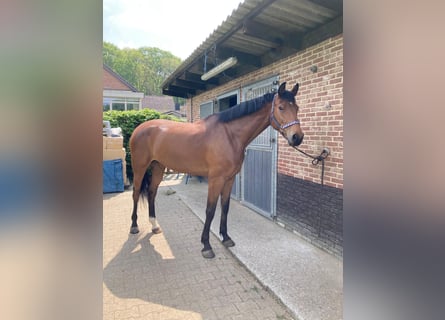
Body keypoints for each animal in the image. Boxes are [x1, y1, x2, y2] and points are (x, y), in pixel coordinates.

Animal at [127, 82, 302, 258]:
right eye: (280, 107)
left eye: (297, 108)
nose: (297, 137)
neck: (229, 135)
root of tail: (139, 128)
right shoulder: (215, 179)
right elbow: (210, 210)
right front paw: (206, 245)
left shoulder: (230, 179)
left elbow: (225, 207)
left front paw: (226, 237)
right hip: (140, 167)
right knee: (135, 193)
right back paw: (134, 226)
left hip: (158, 166)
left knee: (152, 192)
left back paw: (154, 225)